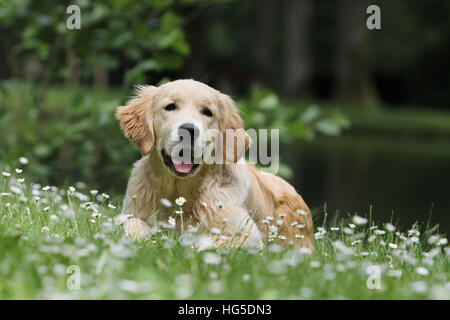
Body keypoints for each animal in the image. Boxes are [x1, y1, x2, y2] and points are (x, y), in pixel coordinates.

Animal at [116, 80, 312, 250]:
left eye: (207, 112)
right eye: (170, 106)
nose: (189, 130)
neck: (180, 193)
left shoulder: (247, 235)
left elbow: (204, 242)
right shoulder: (130, 213)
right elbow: (131, 224)